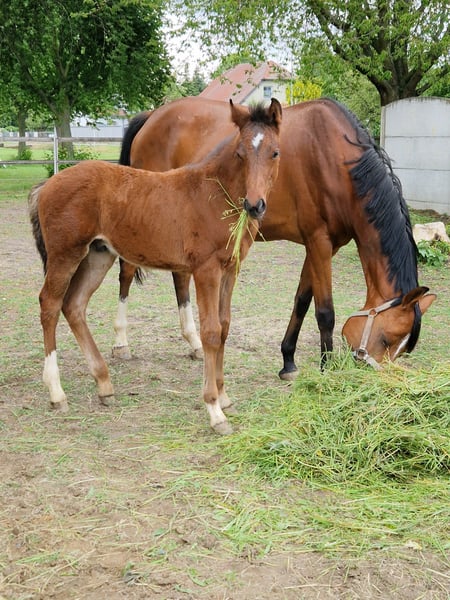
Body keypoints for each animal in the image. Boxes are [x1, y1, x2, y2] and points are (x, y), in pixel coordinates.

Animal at [28, 99, 283, 435]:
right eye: (240, 153)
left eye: (274, 152)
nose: (255, 205)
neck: (215, 194)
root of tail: (45, 185)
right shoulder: (206, 270)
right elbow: (211, 332)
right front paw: (215, 410)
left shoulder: (231, 269)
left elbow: (225, 326)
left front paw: (225, 396)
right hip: (65, 254)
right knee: (50, 305)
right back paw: (57, 393)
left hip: (98, 255)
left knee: (74, 305)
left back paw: (104, 384)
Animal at [115, 96, 435, 377]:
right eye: (387, 339)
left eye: (403, 349)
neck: (334, 158)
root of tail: (152, 116)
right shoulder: (318, 242)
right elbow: (325, 311)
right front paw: (326, 369)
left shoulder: (321, 245)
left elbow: (302, 300)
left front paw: (288, 360)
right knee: (127, 272)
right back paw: (121, 344)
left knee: (179, 277)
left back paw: (194, 343)